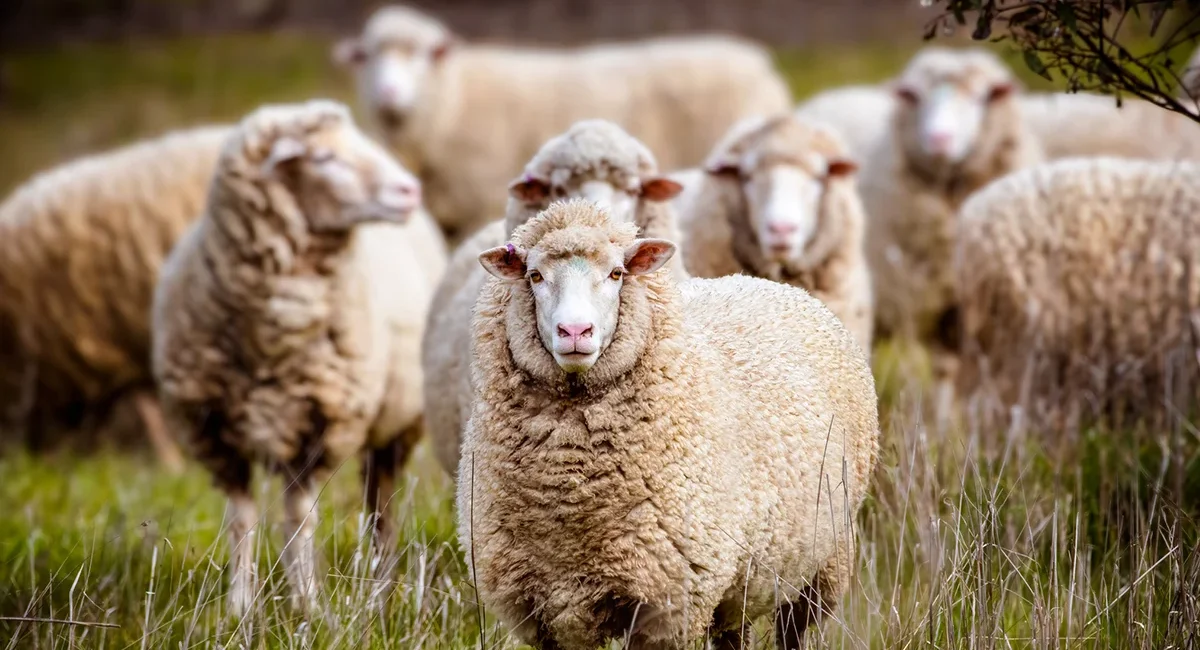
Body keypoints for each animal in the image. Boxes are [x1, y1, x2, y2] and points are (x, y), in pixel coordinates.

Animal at [152, 99, 439, 616]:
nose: (410, 189)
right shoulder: (214, 433)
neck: (271, 336)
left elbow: (300, 519)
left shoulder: (319, 425)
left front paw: (308, 605)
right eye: (323, 158)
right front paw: (240, 606)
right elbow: (241, 519)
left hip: (396, 424)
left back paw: (382, 585)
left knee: (381, 506)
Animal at [332, 4, 793, 245]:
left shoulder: (474, 203)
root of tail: (760, 62)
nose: (388, 92)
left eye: (423, 56)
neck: (453, 99)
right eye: (367, 57)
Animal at [457, 199, 880, 650]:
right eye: (535, 276)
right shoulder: (548, 614)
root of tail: (768, 284)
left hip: (822, 565)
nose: (574, 331)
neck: (570, 489)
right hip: (740, 583)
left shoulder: (670, 606)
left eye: (616, 273)